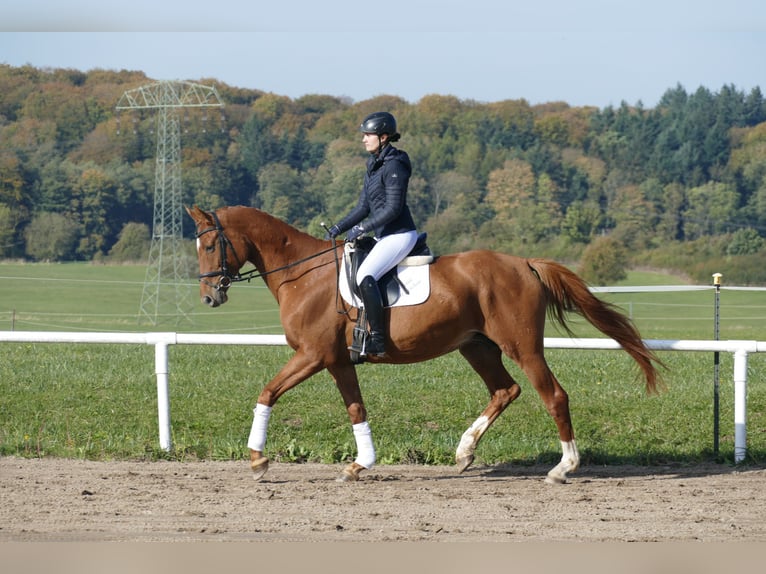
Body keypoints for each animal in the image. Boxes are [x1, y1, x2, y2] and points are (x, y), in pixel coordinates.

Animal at [188, 207, 664, 486]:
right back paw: (465, 452)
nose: (209, 298)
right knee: (505, 390)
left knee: (554, 396)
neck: (302, 275)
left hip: (522, 346)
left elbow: (267, 392)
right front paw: (361, 463)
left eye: (210, 244)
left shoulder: (312, 355)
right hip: (477, 346)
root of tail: (524, 263)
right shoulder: (337, 360)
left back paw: (563, 468)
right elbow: (356, 409)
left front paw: (257, 460)